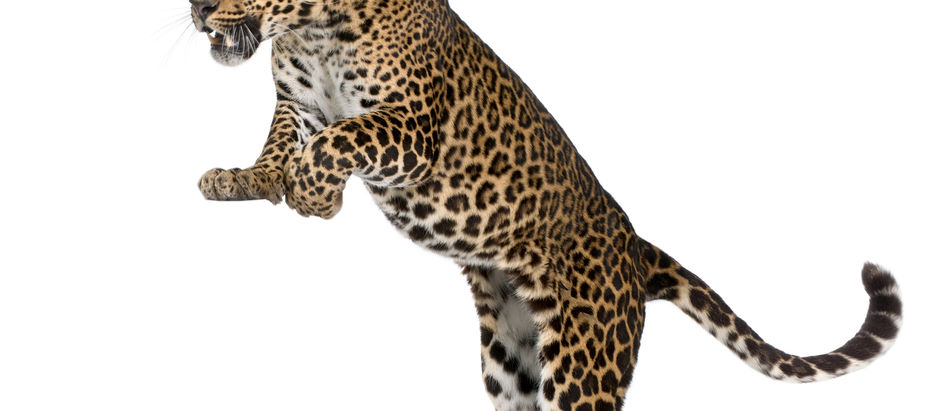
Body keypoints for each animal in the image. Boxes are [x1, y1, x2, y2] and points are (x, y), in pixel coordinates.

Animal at [189, 1, 903, 410]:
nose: (196, 6)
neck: (311, 27)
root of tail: (634, 245)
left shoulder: (414, 127)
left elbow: (339, 139)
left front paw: (315, 197)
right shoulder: (299, 100)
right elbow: (286, 137)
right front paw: (246, 179)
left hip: (585, 362)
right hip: (513, 359)